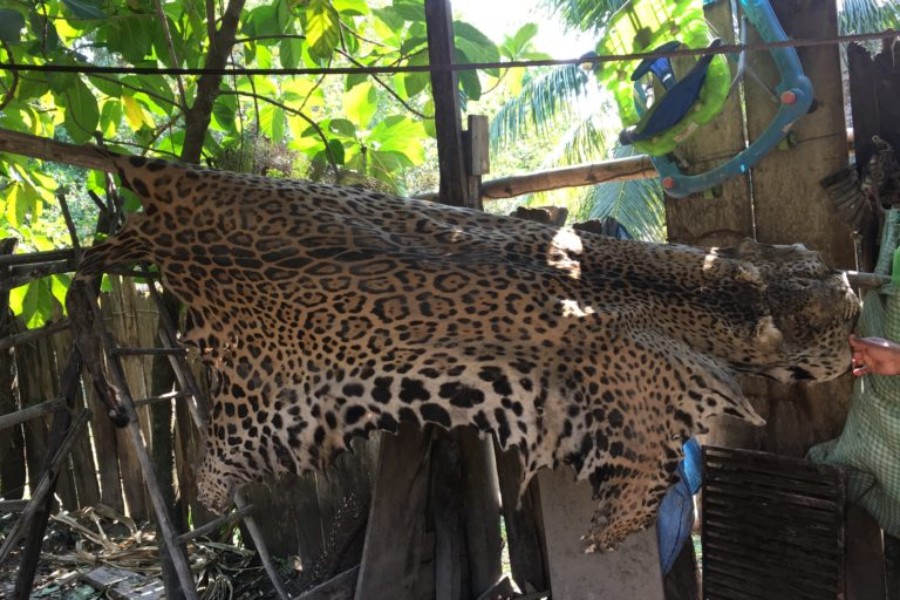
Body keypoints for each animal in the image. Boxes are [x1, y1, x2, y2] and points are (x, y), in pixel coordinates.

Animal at [69, 154, 860, 551]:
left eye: (820, 270)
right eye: (834, 318)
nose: (856, 300)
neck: (708, 296)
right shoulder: (641, 401)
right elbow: (643, 483)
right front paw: (605, 535)